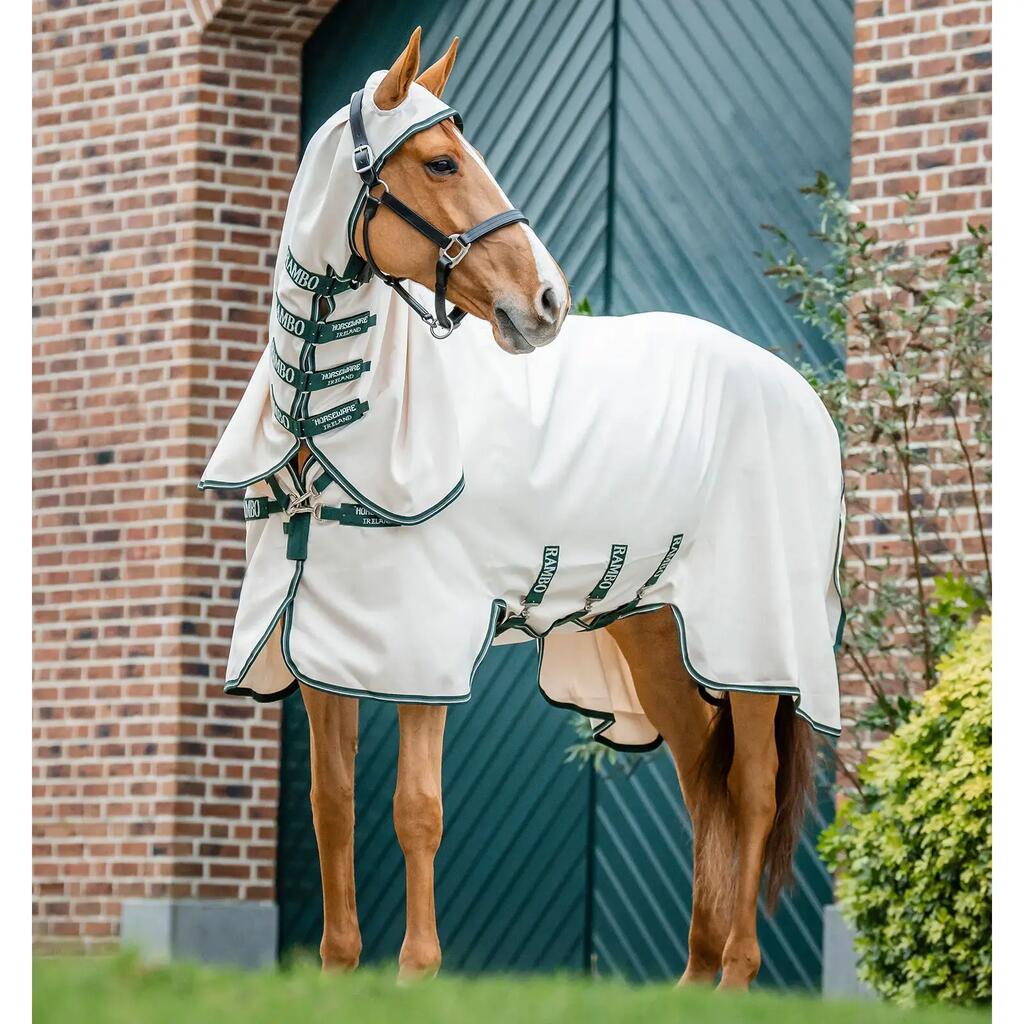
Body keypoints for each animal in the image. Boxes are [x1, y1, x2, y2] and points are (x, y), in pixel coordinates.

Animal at [200, 28, 844, 990]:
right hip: (653, 629)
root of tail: (797, 392)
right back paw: (693, 983)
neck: (330, 420)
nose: (547, 303)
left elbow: (416, 808)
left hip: (756, 645)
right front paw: (339, 973)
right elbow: (333, 804)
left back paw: (735, 975)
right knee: (704, 779)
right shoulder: (322, 644)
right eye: (439, 161)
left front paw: (416, 975)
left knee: (754, 789)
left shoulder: (419, 644)